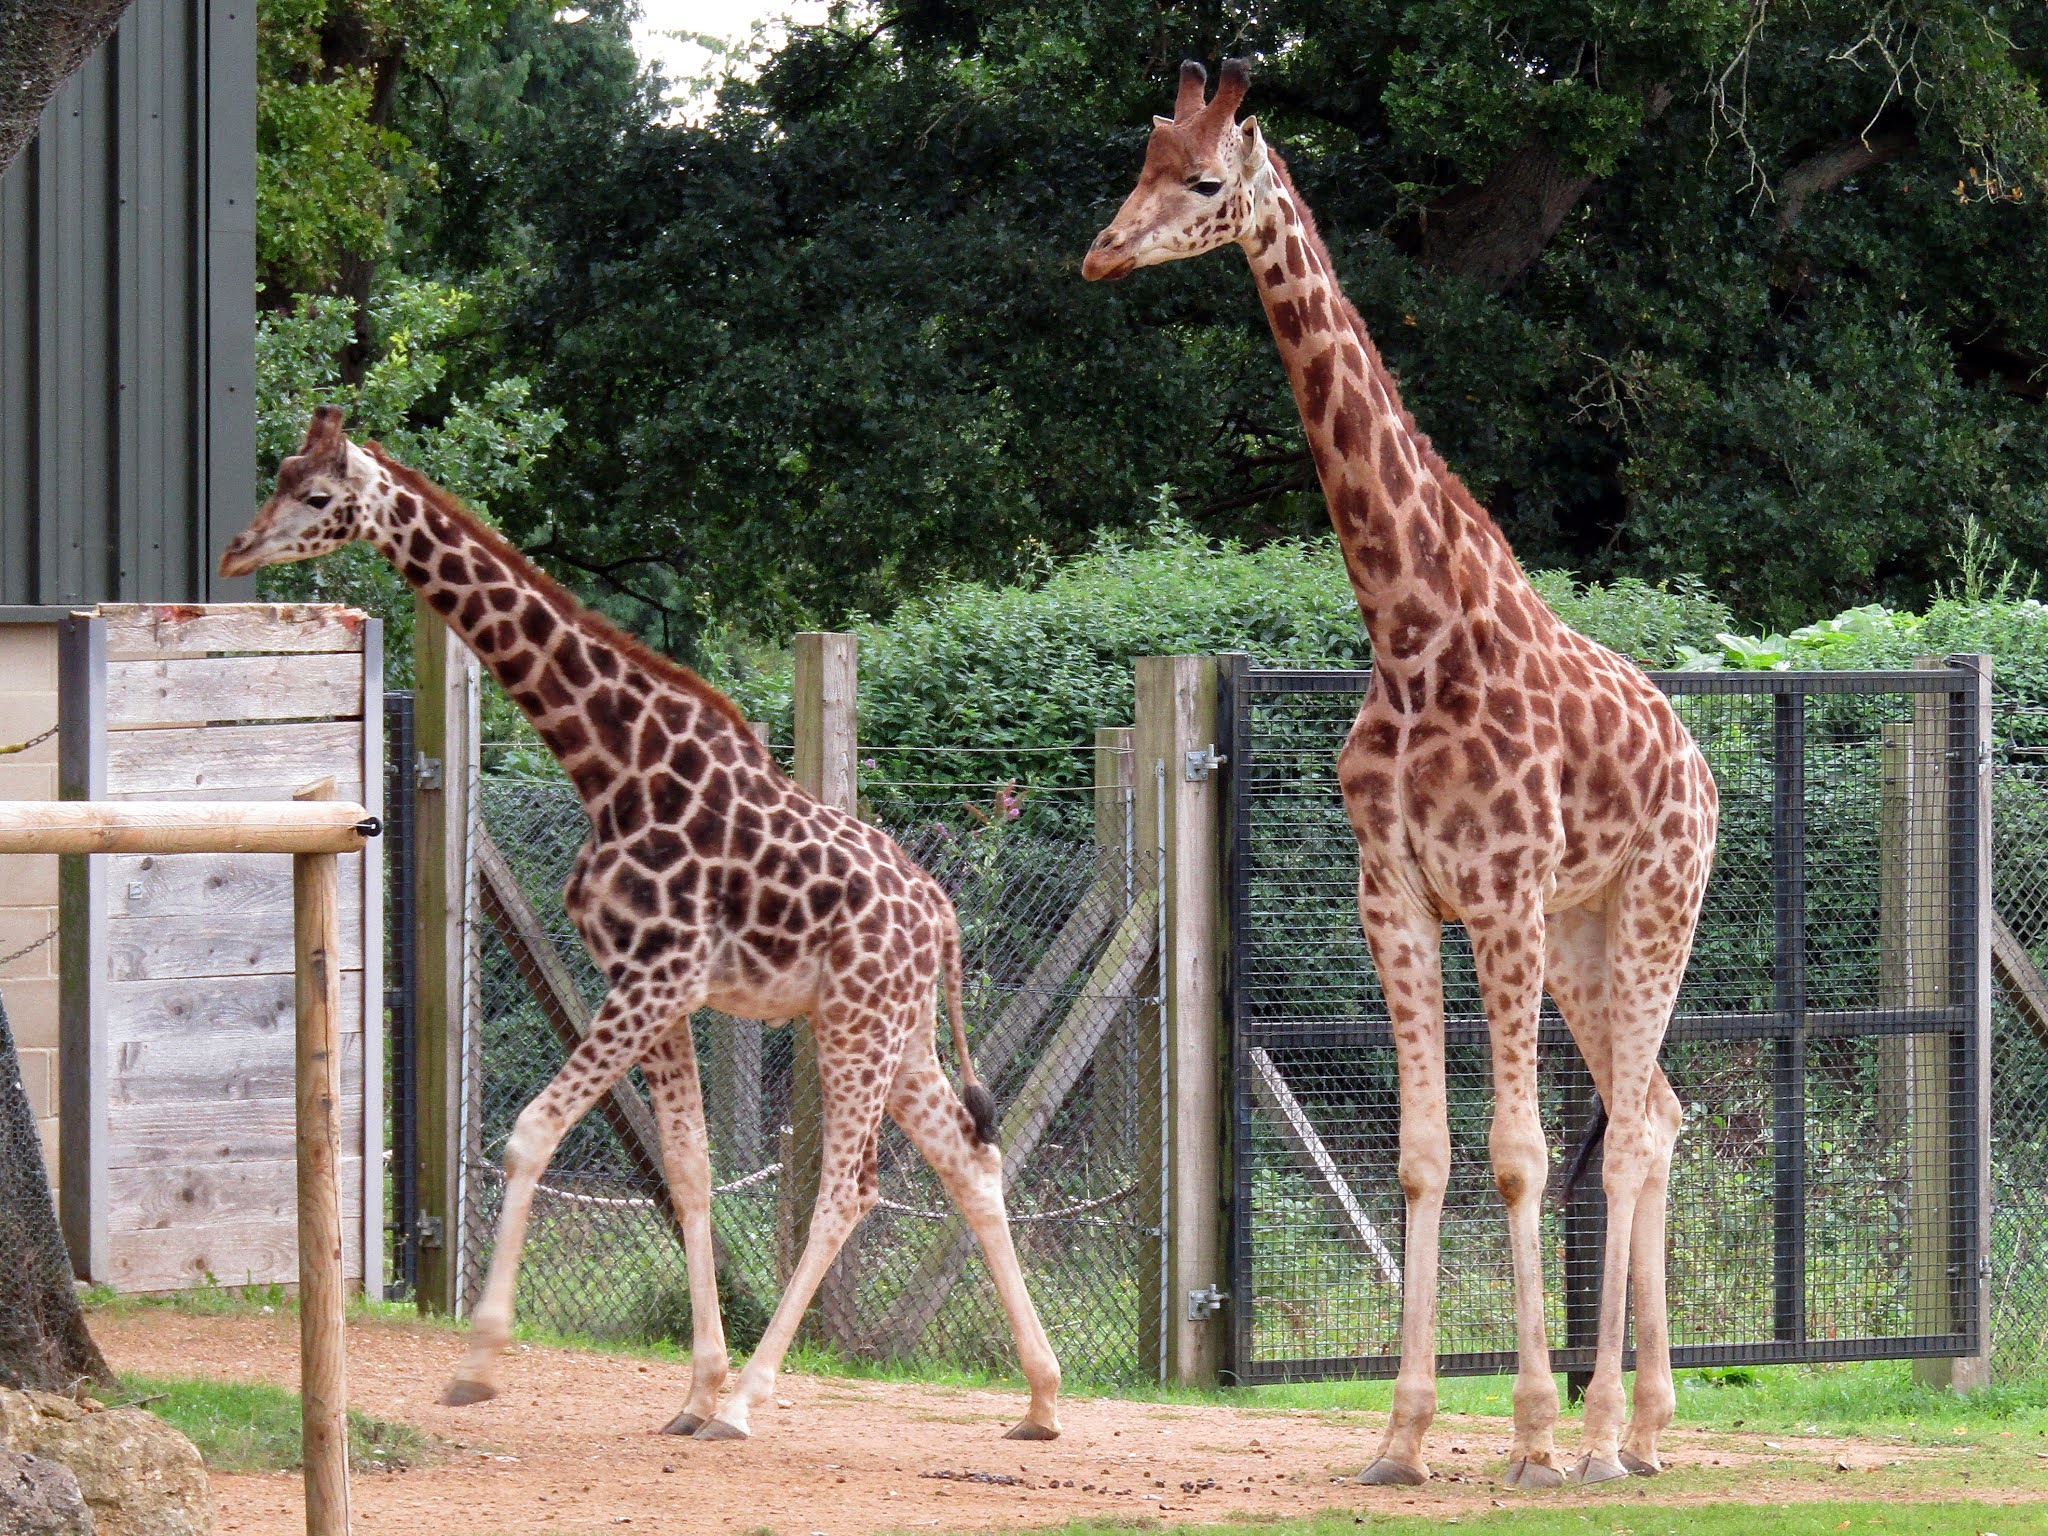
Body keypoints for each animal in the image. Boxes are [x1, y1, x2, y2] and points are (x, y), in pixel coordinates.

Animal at [218, 405, 1064, 1441]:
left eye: (316, 494)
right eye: (278, 472)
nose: (237, 549)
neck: (610, 766)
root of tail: (941, 915)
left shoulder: (658, 974)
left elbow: (530, 1133)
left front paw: (481, 1366)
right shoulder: (655, 986)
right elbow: (688, 1171)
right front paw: (693, 1388)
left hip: (859, 1023)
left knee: (851, 1187)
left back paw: (752, 1402)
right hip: (892, 1030)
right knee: (970, 1161)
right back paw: (1041, 1399)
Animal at [1089, 63, 1712, 1490]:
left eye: (1204, 179)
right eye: (1135, 162)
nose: (1099, 254)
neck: (1412, 632)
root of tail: (1700, 763)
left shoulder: (1500, 894)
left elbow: (1517, 1156)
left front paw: (1527, 1434)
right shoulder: (1396, 896)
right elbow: (1425, 1157)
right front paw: (1402, 1433)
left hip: (1651, 909)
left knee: (1633, 1134)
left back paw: (1601, 1436)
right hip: (1589, 937)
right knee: (1653, 1109)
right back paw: (1645, 1428)